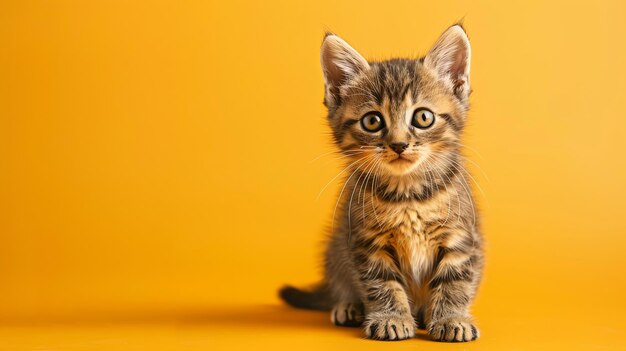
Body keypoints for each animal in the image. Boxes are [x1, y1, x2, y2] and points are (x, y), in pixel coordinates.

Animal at [280, 25, 486, 344]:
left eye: (423, 117)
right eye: (373, 121)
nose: (399, 144)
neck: (409, 195)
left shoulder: (461, 238)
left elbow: (454, 281)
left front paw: (452, 319)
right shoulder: (367, 242)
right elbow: (383, 282)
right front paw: (391, 318)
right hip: (335, 246)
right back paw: (349, 306)